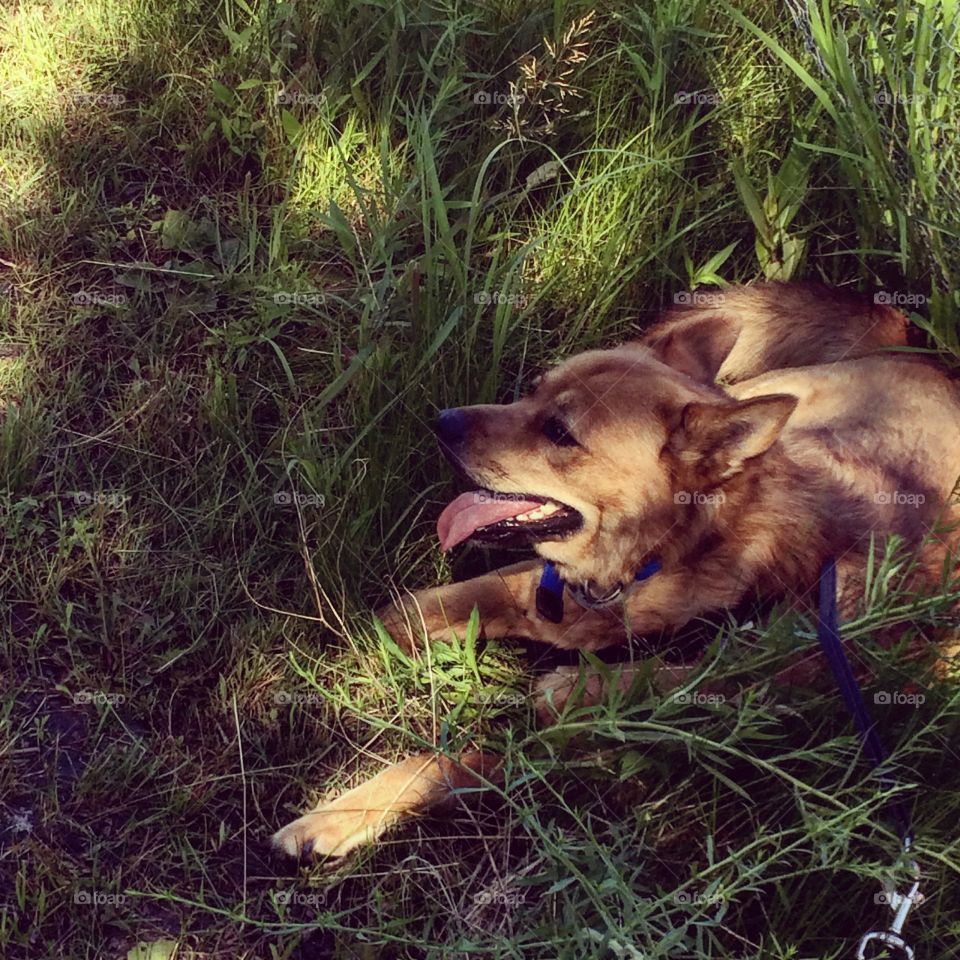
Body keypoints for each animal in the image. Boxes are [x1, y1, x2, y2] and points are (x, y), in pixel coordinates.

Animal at [272, 282, 960, 860]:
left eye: (559, 432)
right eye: (533, 388)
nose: (441, 422)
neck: (668, 559)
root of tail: (918, 346)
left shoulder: (585, 734)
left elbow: (450, 758)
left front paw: (335, 816)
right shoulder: (547, 593)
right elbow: (455, 597)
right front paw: (373, 630)